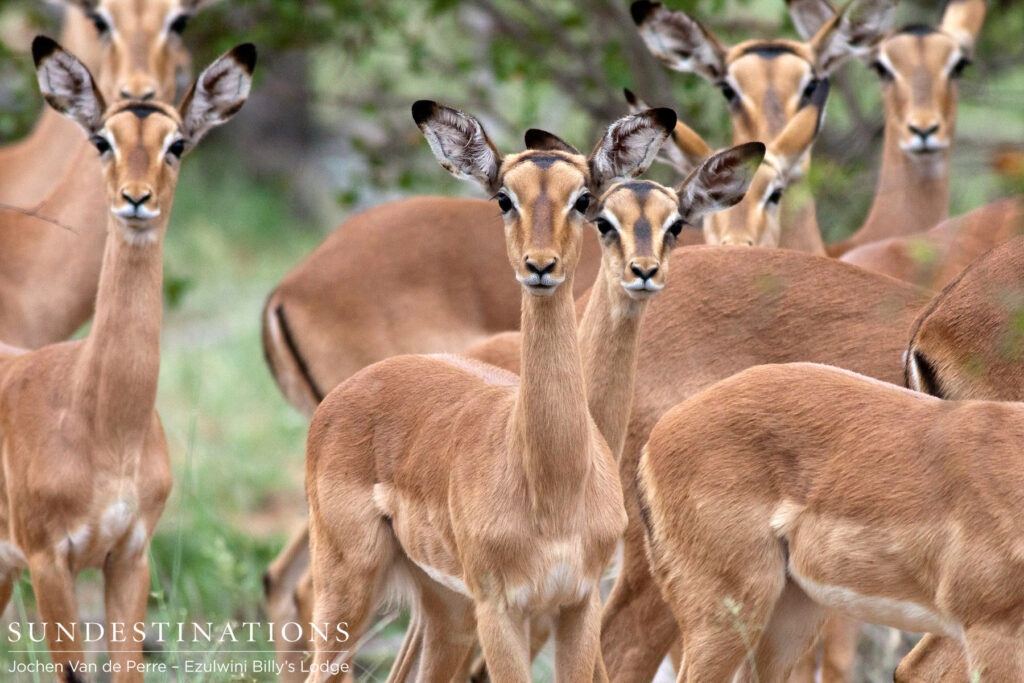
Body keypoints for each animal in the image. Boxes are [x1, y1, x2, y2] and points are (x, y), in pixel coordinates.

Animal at [0, 37, 253, 681]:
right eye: (101, 140)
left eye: (177, 143)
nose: (136, 200)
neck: (104, 424)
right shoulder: (49, 560)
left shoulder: (130, 555)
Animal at [303, 102, 683, 682]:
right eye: (504, 198)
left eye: (583, 199)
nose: (541, 266)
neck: (551, 487)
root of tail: (353, 387)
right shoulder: (501, 610)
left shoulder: (577, 604)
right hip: (348, 583)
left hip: (445, 606)